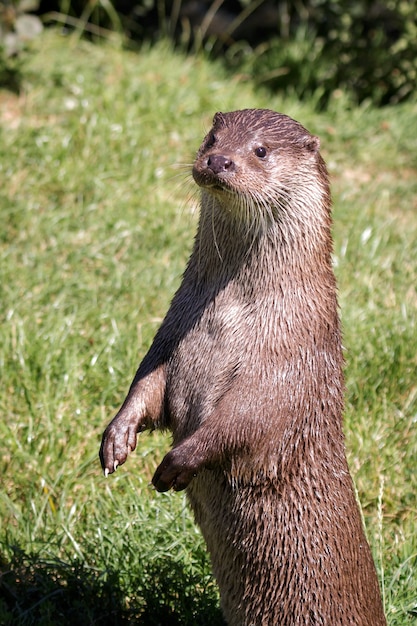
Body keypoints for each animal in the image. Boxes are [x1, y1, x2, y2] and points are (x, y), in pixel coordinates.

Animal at [99, 109, 386, 620]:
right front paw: (117, 437)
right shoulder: (173, 330)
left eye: (261, 151)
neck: (233, 314)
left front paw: (176, 463)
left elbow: (245, 420)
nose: (219, 160)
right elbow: (148, 385)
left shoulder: (286, 362)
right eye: (213, 137)